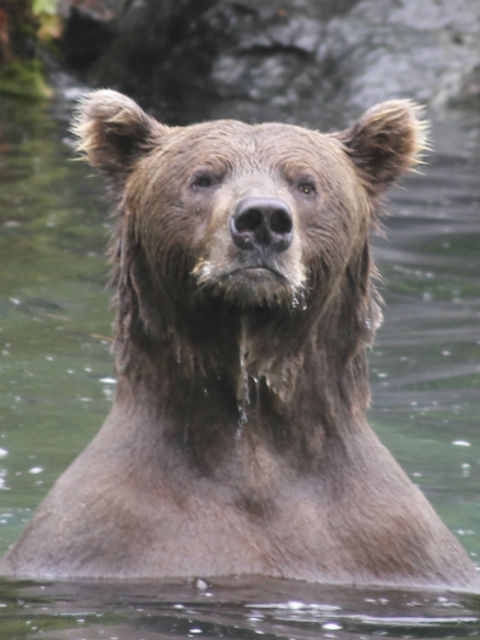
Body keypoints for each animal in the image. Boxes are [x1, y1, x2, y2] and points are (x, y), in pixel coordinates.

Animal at [0, 91, 478, 592]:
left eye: (306, 184)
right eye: (203, 178)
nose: (263, 218)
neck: (251, 451)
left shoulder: (388, 546)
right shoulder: (101, 540)